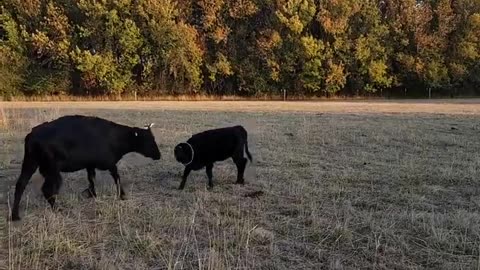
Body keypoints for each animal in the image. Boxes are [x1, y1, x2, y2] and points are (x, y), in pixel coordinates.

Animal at [10, 115, 161, 220]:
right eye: (148, 140)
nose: (159, 155)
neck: (115, 137)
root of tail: (32, 135)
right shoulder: (110, 163)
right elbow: (117, 177)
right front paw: (122, 195)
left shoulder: (90, 165)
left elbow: (91, 179)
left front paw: (92, 194)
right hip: (52, 171)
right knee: (46, 190)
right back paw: (57, 209)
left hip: (30, 163)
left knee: (20, 184)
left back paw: (15, 215)